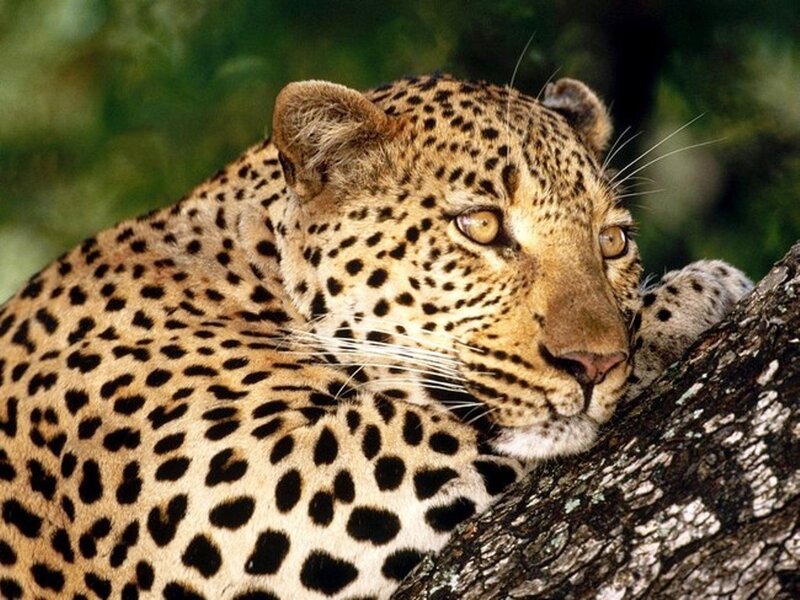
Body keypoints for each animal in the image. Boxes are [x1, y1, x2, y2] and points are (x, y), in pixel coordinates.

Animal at [0, 73, 752, 599]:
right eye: (481, 225)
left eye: (613, 241)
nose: (594, 365)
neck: (246, 266)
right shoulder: (264, 486)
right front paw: (697, 292)